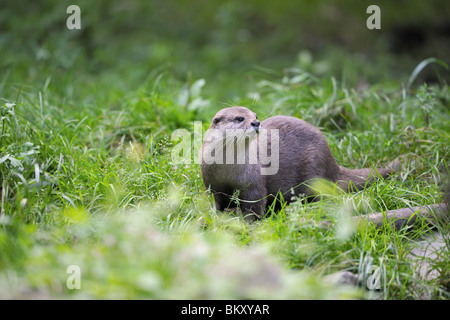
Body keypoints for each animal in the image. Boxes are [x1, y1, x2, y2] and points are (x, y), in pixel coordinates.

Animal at [200, 106, 400, 219]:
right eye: (240, 118)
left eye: (255, 115)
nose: (256, 123)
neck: (228, 171)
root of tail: (331, 160)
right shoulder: (213, 184)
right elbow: (218, 203)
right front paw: (217, 216)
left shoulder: (254, 183)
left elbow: (254, 206)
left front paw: (250, 223)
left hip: (313, 168)